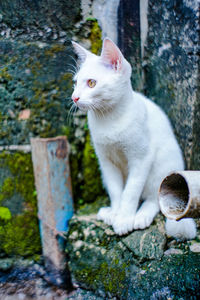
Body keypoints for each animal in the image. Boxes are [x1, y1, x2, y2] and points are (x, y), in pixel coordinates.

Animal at [71, 38, 196, 239]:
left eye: (91, 83)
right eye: (75, 83)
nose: (74, 97)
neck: (108, 120)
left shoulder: (141, 157)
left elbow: (130, 191)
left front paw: (124, 219)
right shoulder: (106, 161)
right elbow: (116, 190)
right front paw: (116, 213)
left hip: (161, 167)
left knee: (155, 198)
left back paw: (141, 216)